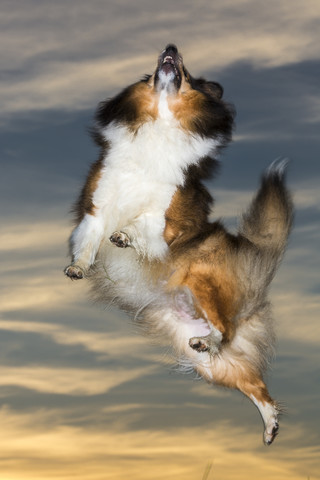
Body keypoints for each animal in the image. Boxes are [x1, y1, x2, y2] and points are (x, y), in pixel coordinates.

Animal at [64, 43, 292, 444]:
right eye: (149, 73)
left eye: (187, 73)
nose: (171, 48)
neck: (161, 120)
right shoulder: (99, 202)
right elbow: (89, 236)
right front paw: (79, 265)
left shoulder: (166, 213)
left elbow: (144, 225)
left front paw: (124, 236)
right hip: (211, 365)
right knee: (256, 384)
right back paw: (270, 426)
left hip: (205, 286)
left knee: (225, 330)